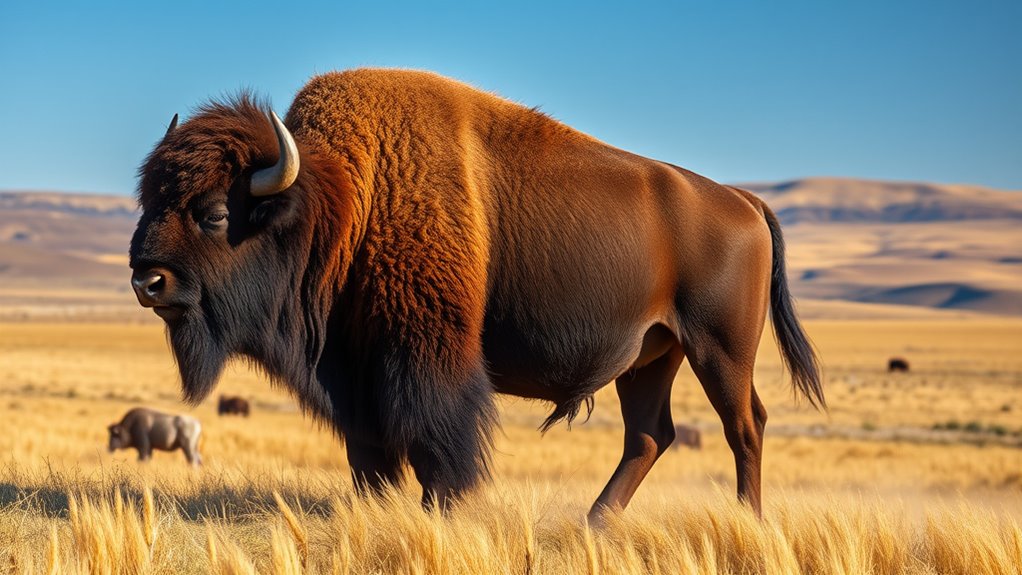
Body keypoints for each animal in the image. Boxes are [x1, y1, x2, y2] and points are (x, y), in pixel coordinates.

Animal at [130, 69, 822, 518]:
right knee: (649, 435)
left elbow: (439, 447)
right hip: (651, 356)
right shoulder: (356, 378)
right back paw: (594, 525)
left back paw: (747, 521)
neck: (343, 207)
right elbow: (369, 456)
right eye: (148, 201)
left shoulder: (426, 362)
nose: (146, 279)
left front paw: (442, 511)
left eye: (216, 213)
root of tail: (743, 200)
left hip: (719, 350)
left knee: (745, 426)